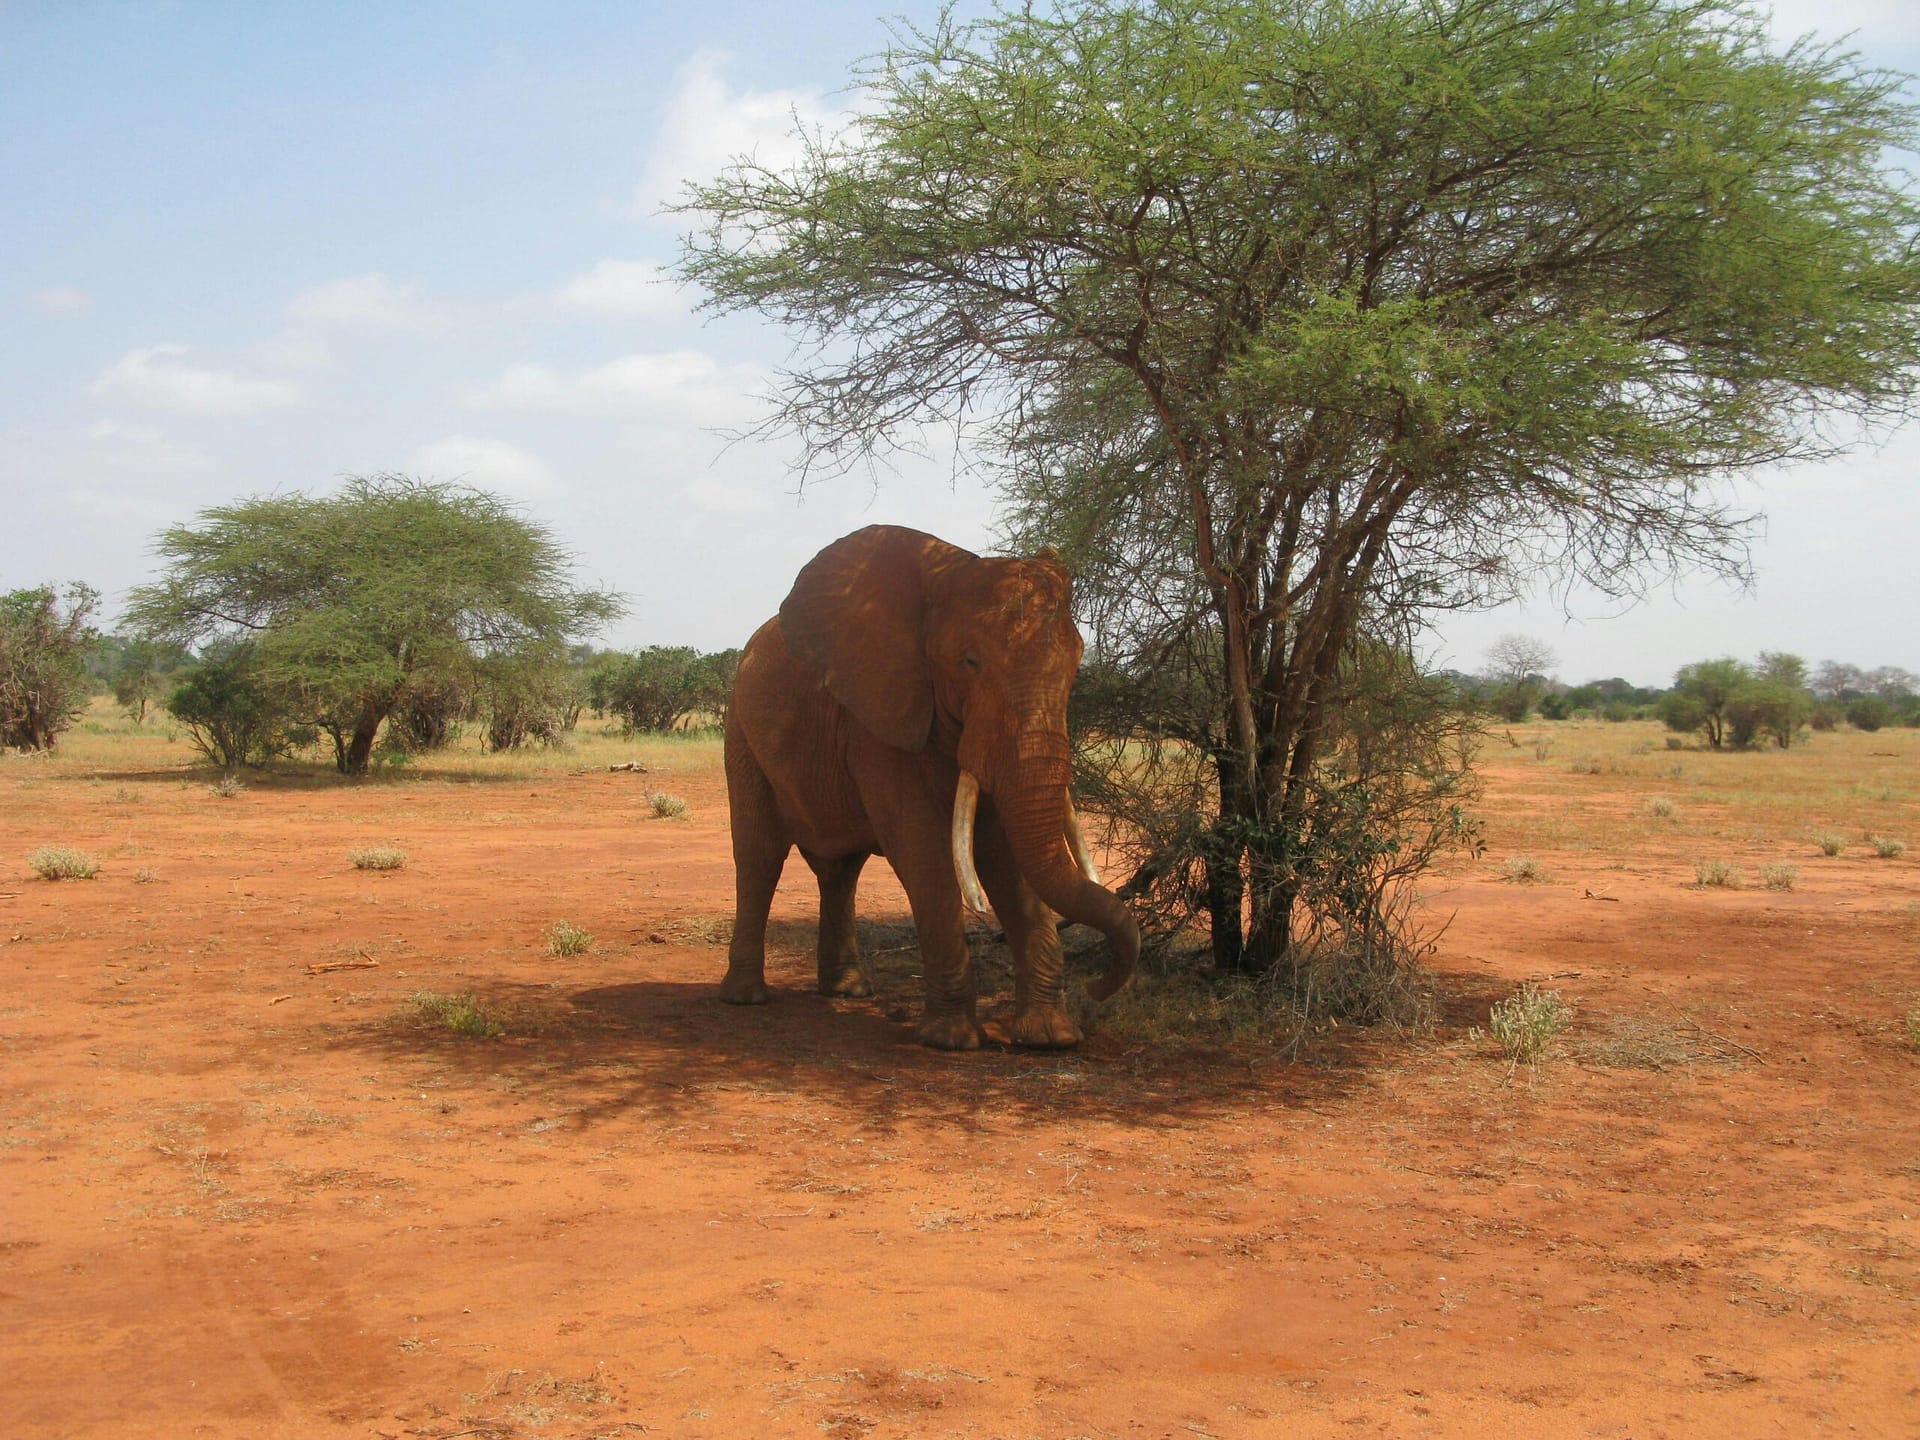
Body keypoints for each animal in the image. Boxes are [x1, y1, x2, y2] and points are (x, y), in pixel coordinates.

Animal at [720, 524, 1139, 1049]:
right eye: (970, 662)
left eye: (1076, 665)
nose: (1097, 986)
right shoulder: (879, 717)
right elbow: (923, 848)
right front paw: (951, 1039)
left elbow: (1007, 853)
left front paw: (1051, 1036)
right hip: (741, 732)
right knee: (759, 856)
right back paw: (744, 997)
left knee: (841, 872)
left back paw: (848, 991)